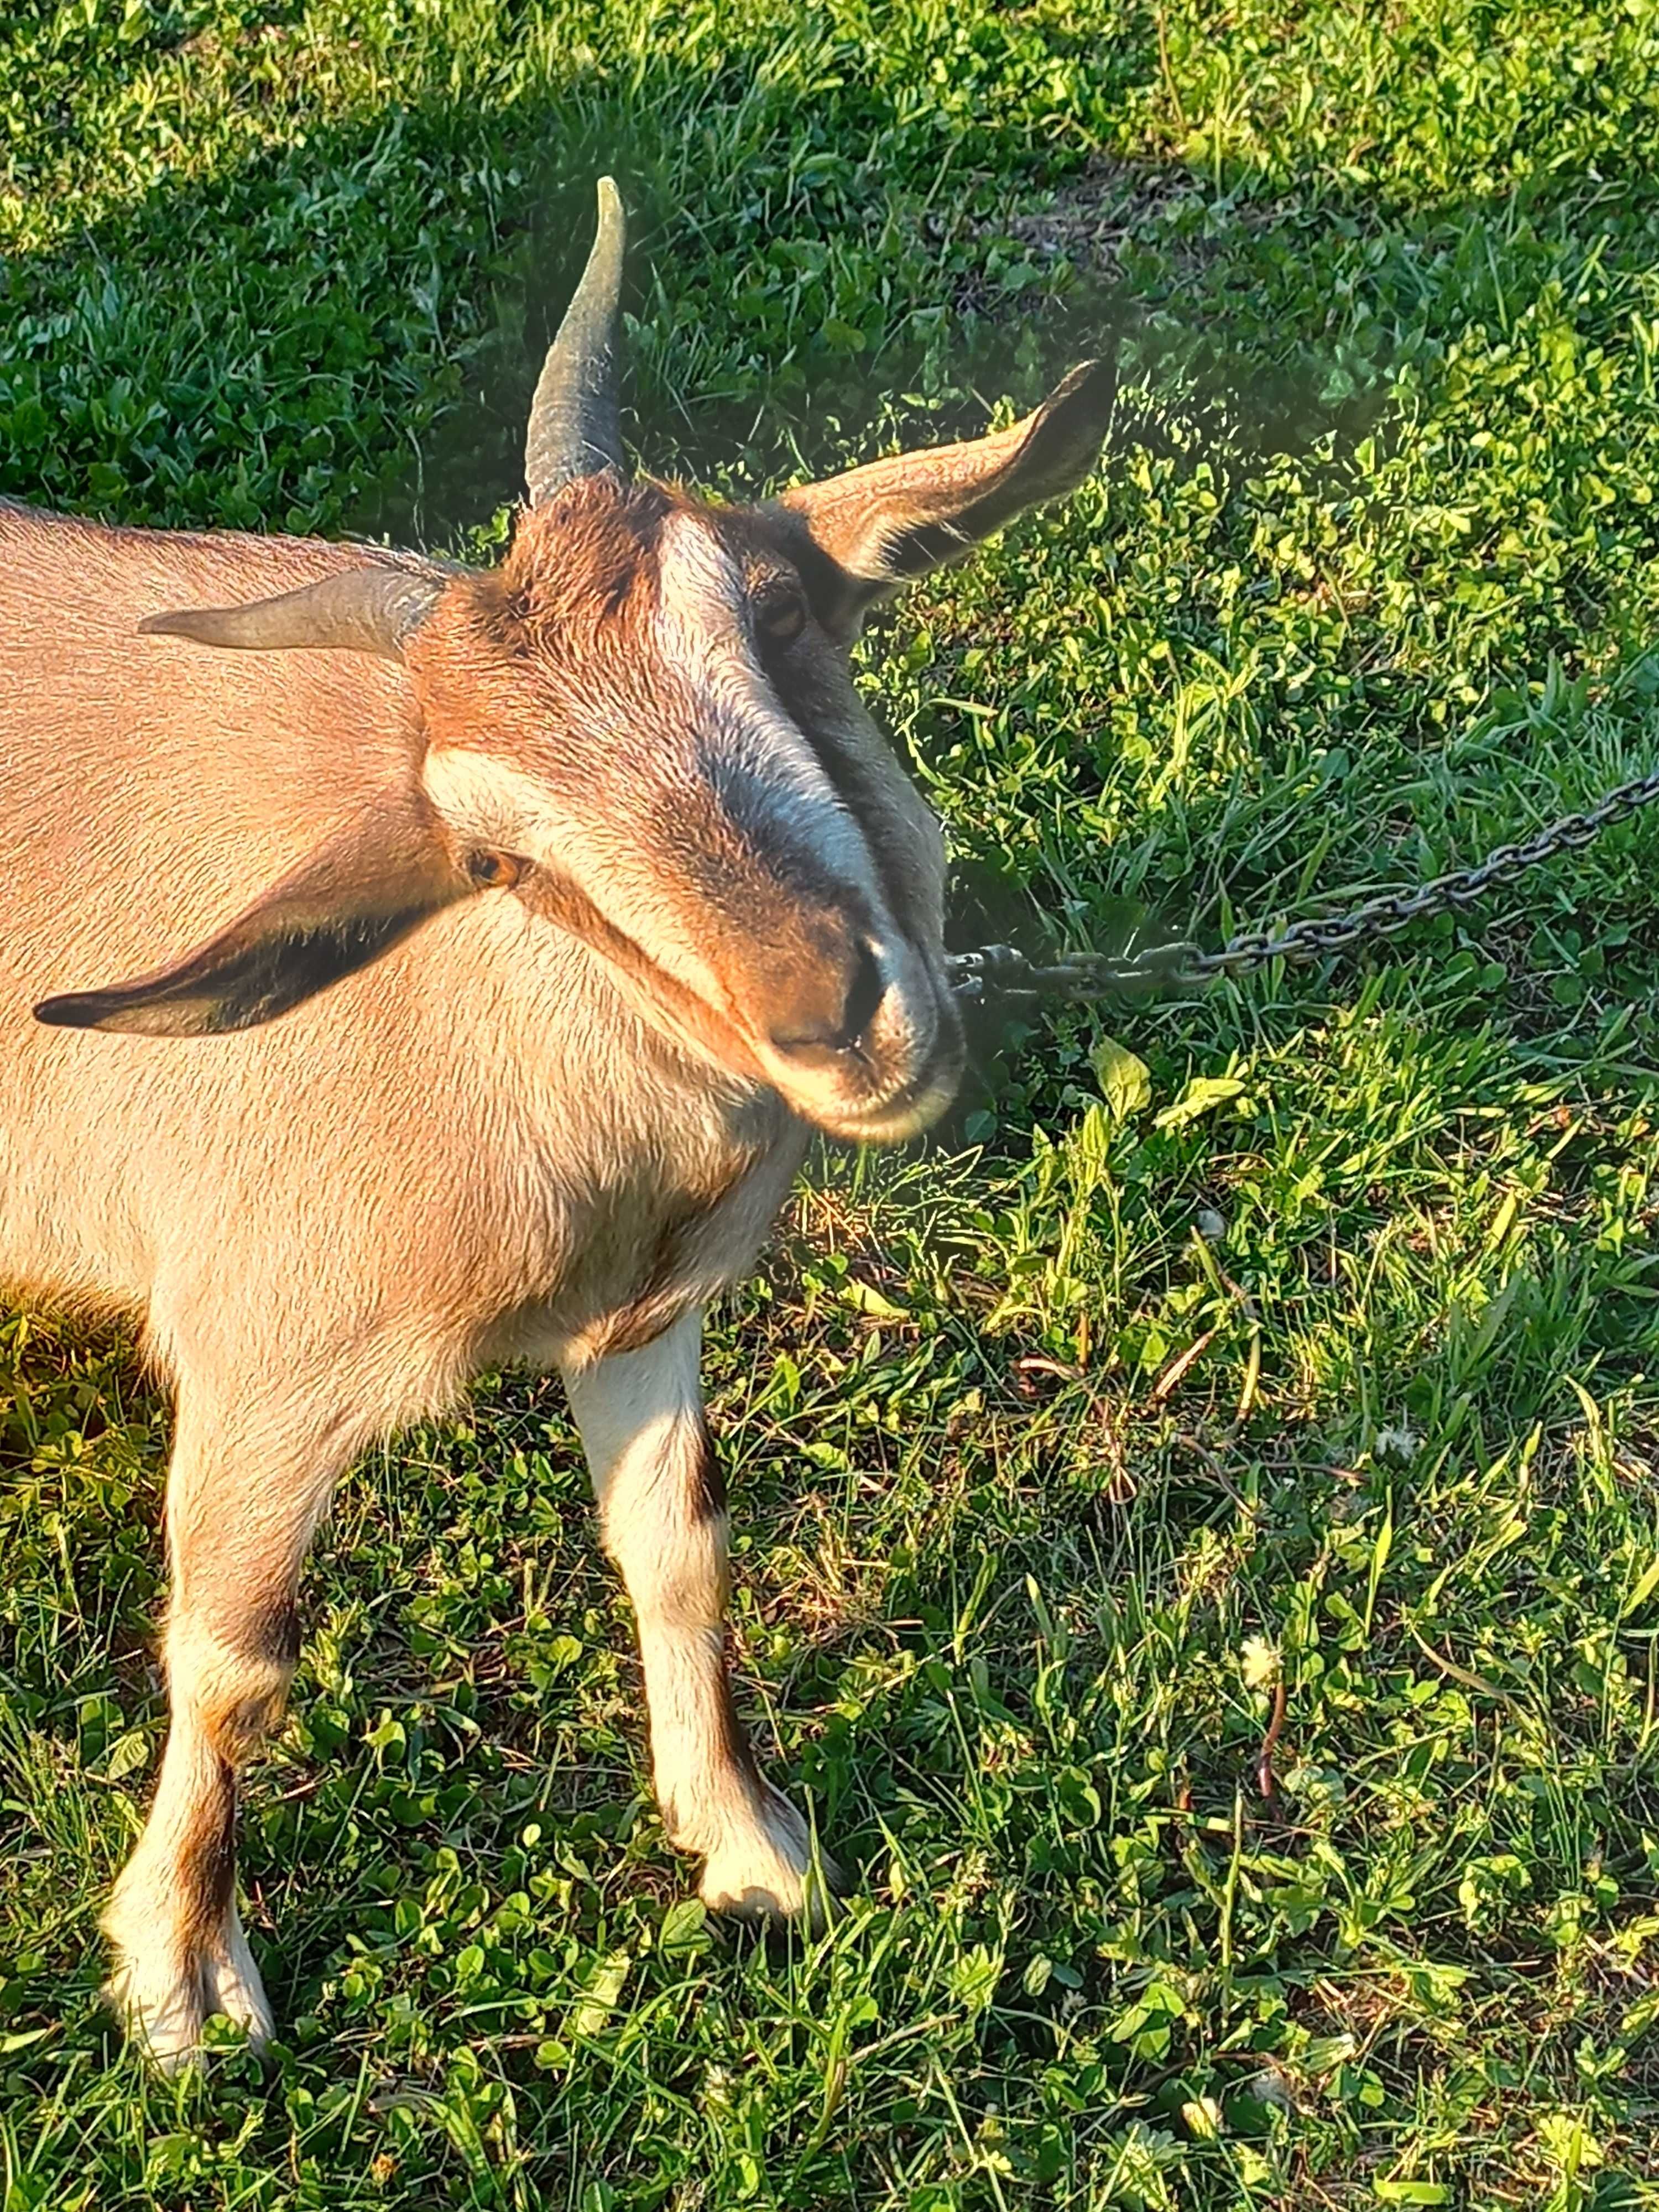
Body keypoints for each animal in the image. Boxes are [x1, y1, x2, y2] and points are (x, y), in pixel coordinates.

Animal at [3, 181, 1119, 2062]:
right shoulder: (257, 1355)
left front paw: (745, 1841)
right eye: (497, 860)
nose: (830, 1007)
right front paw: (180, 1969)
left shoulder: (642, 1315)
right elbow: (234, 1662)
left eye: (784, 608)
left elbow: (676, 1544)